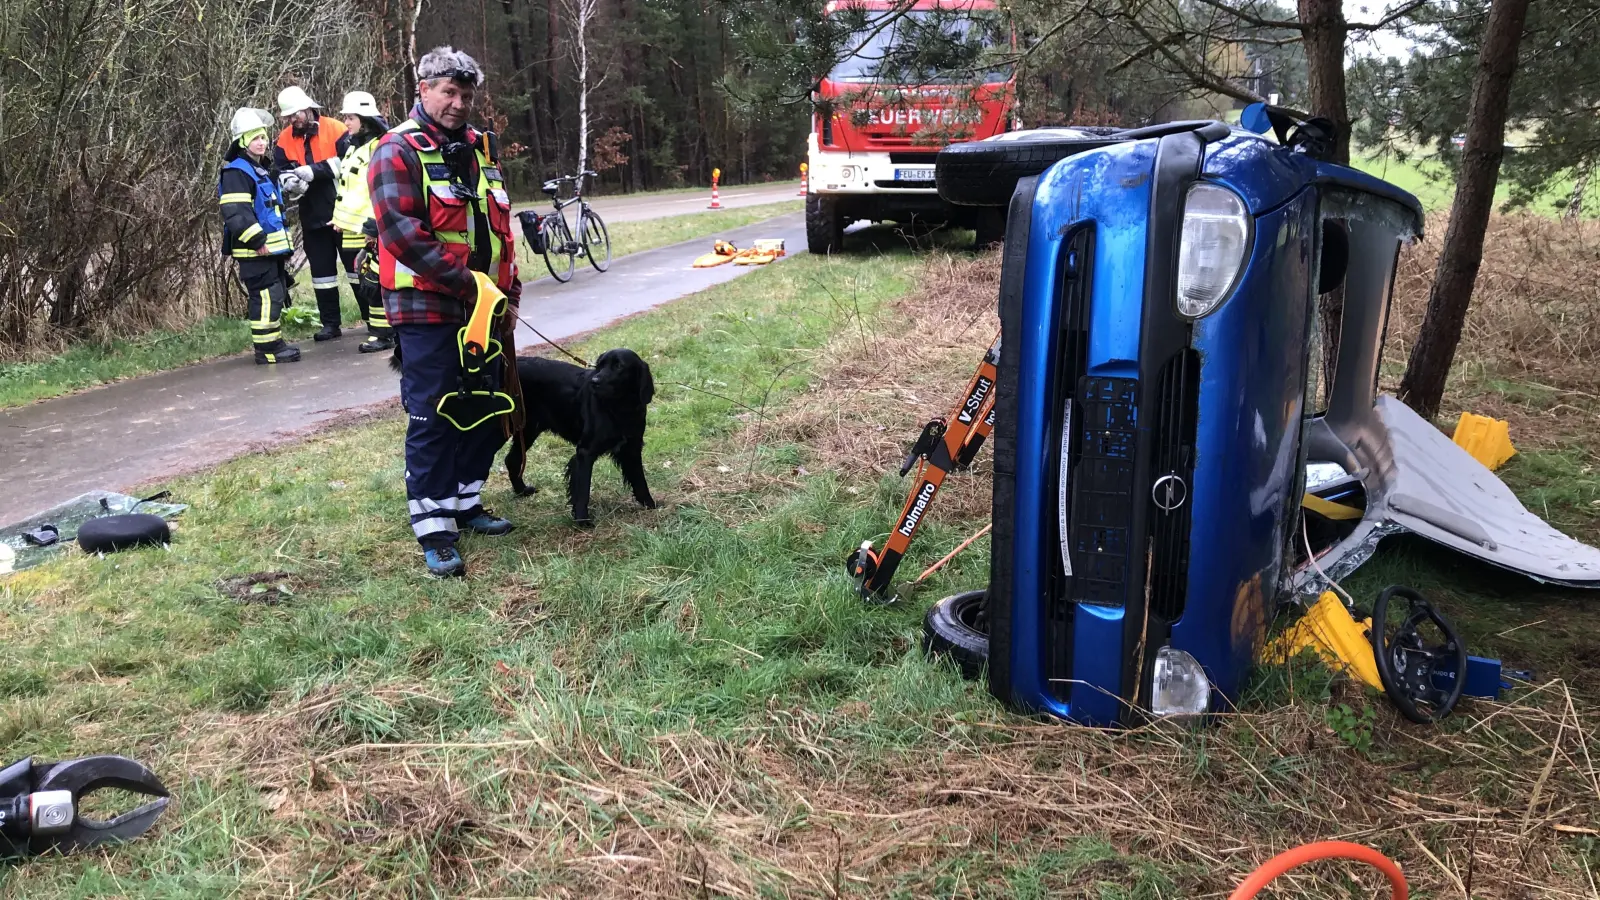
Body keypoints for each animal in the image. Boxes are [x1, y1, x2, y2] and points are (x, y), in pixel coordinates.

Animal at [512, 347, 662, 522]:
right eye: (599, 366)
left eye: (619, 366)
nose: (594, 382)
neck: (619, 408)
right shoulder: (585, 452)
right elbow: (583, 488)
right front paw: (582, 519)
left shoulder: (632, 447)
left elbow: (640, 481)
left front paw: (650, 504)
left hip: (528, 430)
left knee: (511, 459)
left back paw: (521, 491)